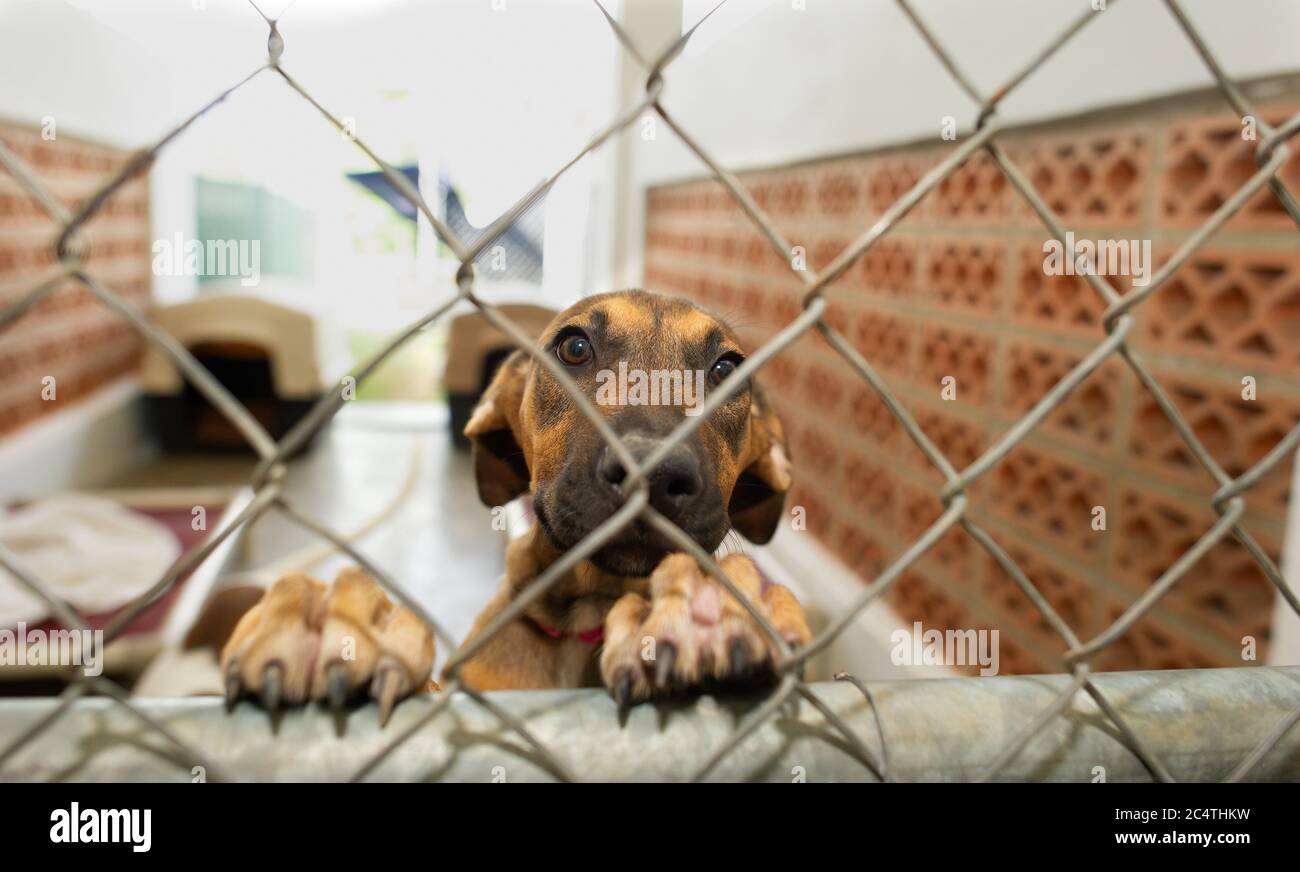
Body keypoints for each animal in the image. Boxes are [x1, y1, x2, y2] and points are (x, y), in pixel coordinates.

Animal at [224, 289, 811, 717]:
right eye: (574, 348)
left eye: (727, 370)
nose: (655, 472)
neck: (585, 618)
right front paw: (340, 618)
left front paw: (710, 604)